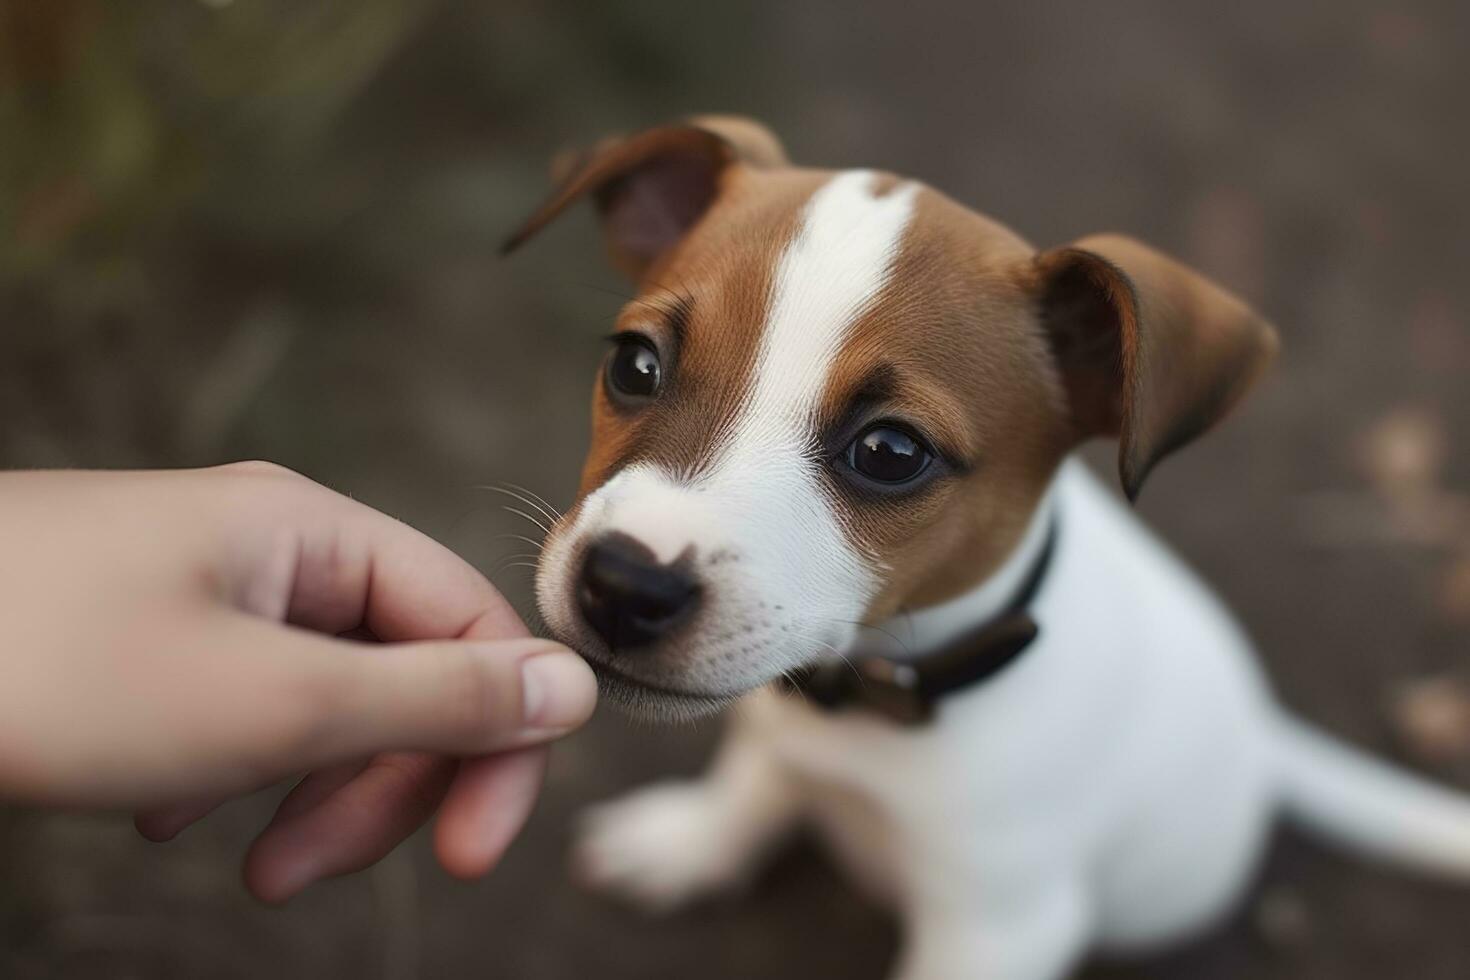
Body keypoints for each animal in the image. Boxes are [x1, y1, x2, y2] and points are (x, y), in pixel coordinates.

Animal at [502, 116, 1470, 980]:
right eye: (634, 365)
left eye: (891, 453)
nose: (622, 586)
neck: (877, 701)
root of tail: (1269, 742)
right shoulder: (782, 733)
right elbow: (755, 783)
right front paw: (691, 841)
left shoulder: (1000, 930)